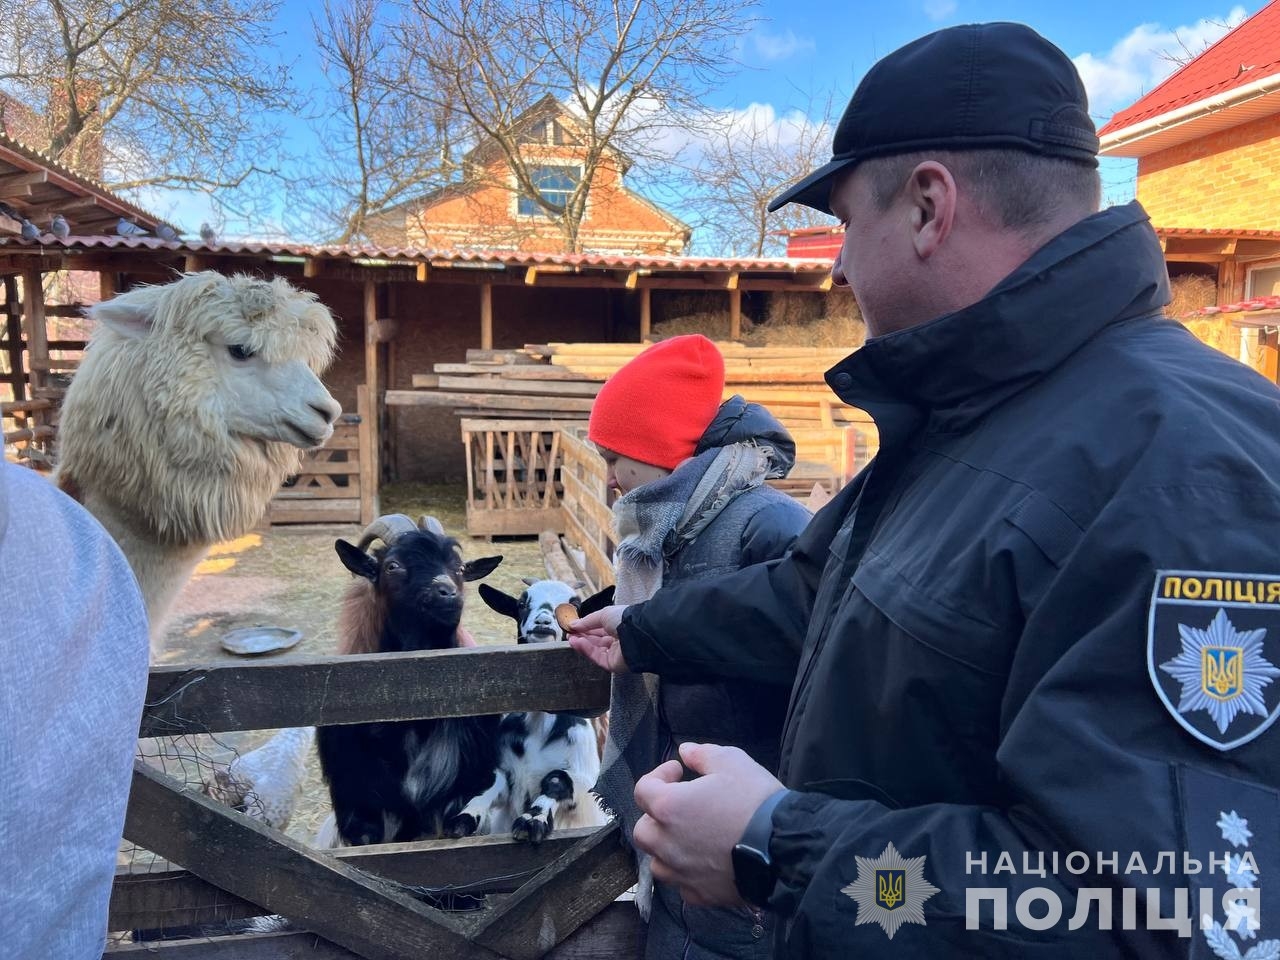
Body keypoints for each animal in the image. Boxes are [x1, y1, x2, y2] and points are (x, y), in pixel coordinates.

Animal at [445, 578, 614, 839]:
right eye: (521, 604)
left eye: (574, 606)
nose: (543, 622)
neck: (538, 729)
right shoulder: (506, 774)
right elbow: (490, 786)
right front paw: (464, 818)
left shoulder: (586, 784)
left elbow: (556, 780)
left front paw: (532, 820)